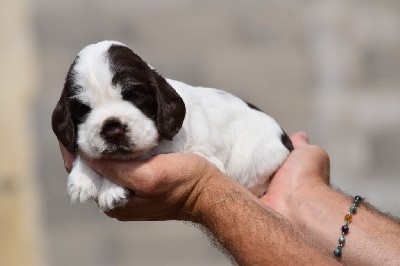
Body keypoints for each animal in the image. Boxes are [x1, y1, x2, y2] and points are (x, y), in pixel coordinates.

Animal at [51, 40, 292, 211]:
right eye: (83, 109)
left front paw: (112, 188)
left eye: (134, 96)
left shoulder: (188, 151)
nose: (112, 129)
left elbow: (140, 153)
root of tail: (285, 140)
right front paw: (82, 178)